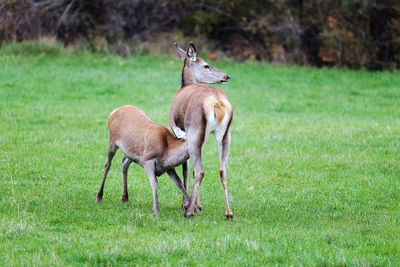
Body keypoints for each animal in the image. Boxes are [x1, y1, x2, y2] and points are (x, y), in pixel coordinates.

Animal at [170, 40, 233, 219]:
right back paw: (229, 213)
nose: (226, 76)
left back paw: (189, 211)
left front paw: (187, 205)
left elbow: (186, 168)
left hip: (194, 130)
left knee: (200, 170)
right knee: (222, 169)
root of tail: (217, 103)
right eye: (206, 65)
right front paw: (198, 204)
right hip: (225, 135)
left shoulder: (179, 131)